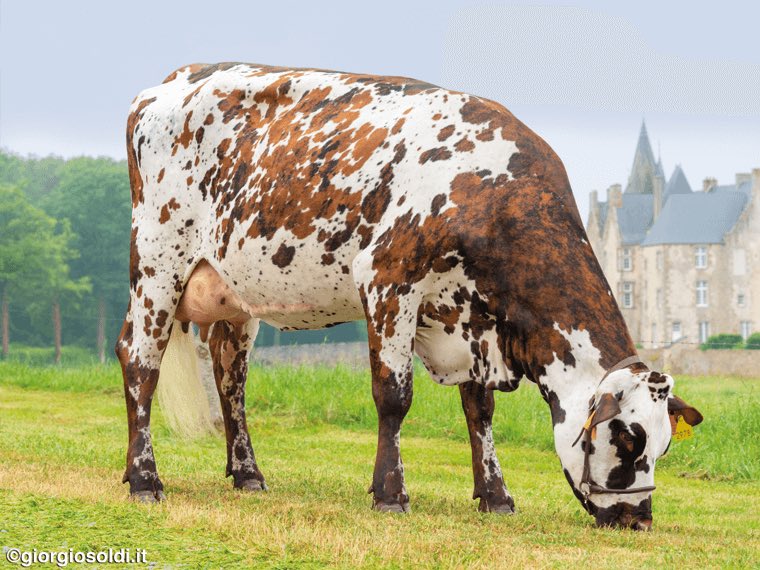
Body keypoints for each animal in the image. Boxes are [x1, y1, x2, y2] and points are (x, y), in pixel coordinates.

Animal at [116, 62, 703, 529]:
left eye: (664, 444)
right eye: (627, 439)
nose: (638, 518)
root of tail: (174, 79)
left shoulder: (471, 319)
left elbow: (479, 410)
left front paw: (495, 495)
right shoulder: (387, 279)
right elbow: (394, 396)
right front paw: (391, 494)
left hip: (235, 293)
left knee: (230, 378)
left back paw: (248, 474)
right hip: (158, 266)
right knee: (139, 361)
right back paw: (144, 479)